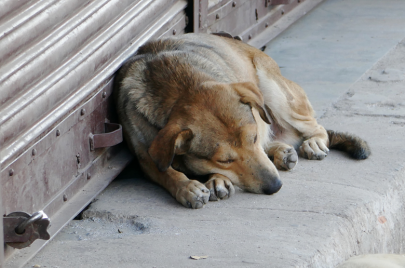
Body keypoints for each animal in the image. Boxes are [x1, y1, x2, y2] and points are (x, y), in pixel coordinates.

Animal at [113, 33, 370, 208]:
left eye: (253, 138)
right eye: (225, 160)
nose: (276, 187)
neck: (179, 90)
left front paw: (216, 180)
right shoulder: (146, 158)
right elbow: (167, 172)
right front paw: (187, 186)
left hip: (275, 92)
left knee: (316, 127)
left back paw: (312, 143)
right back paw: (282, 152)